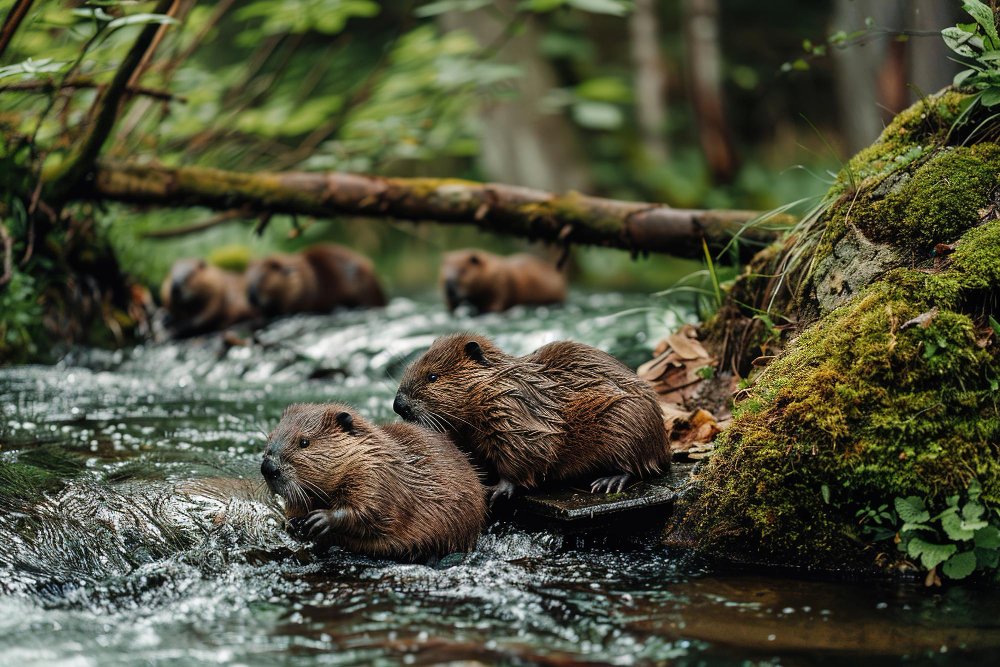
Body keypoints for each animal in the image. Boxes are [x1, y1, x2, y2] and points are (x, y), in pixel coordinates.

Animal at [260, 402, 486, 564]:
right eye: (270, 437)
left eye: (304, 442)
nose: (268, 468)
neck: (376, 452)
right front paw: (292, 524)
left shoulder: (375, 476)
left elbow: (371, 511)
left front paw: (320, 519)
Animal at [394, 334, 668, 506]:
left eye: (432, 376)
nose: (398, 405)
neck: (499, 383)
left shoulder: (514, 412)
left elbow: (526, 451)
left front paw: (496, 490)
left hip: (628, 419)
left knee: (636, 465)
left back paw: (608, 482)